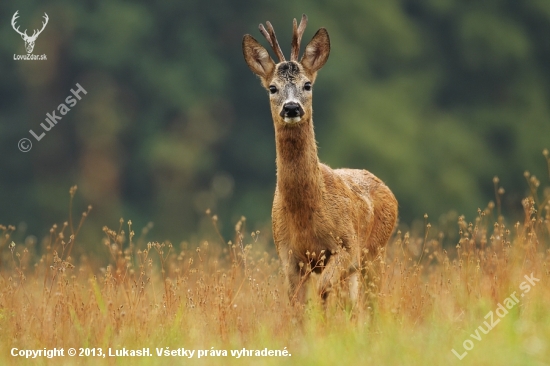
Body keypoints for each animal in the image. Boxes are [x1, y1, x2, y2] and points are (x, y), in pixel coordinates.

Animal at [244, 14, 398, 306]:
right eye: (272, 88)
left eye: (307, 85)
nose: (292, 107)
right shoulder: (289, 256)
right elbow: (299, 304)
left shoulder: (346, 245)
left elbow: (324, 291)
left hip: (375, 251)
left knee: (373, 300)